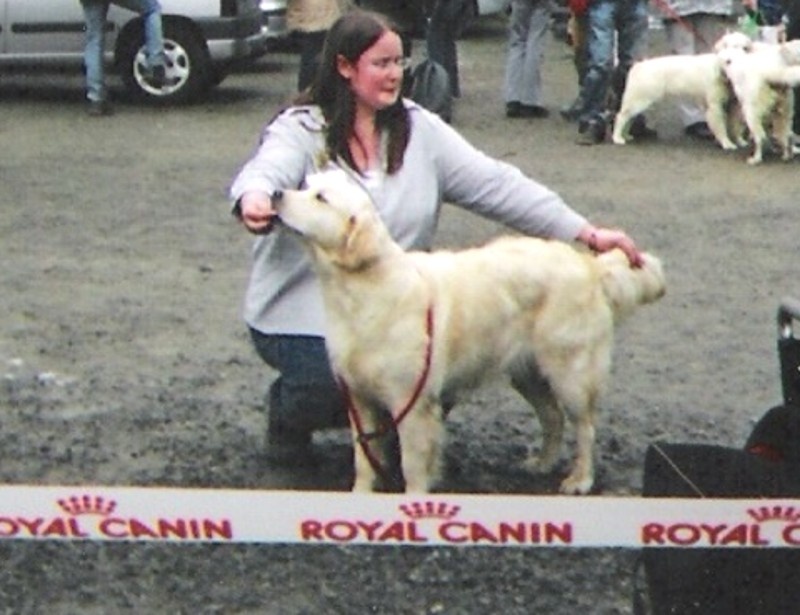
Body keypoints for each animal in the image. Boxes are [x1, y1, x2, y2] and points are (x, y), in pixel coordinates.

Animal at [612, 32, 754, 149]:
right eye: (730, 46)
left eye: (745, 48)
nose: (734, 60)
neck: (720, 69)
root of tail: (638, 65)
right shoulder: (714, 106)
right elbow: (721, 128)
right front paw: (727, 143)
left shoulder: (734, 105)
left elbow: (735, 127)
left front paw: (740, 141)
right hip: (639, 100)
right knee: (621, 116)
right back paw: (617, 138)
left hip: (639, 102)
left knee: (629, 118)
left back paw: (626, 136)